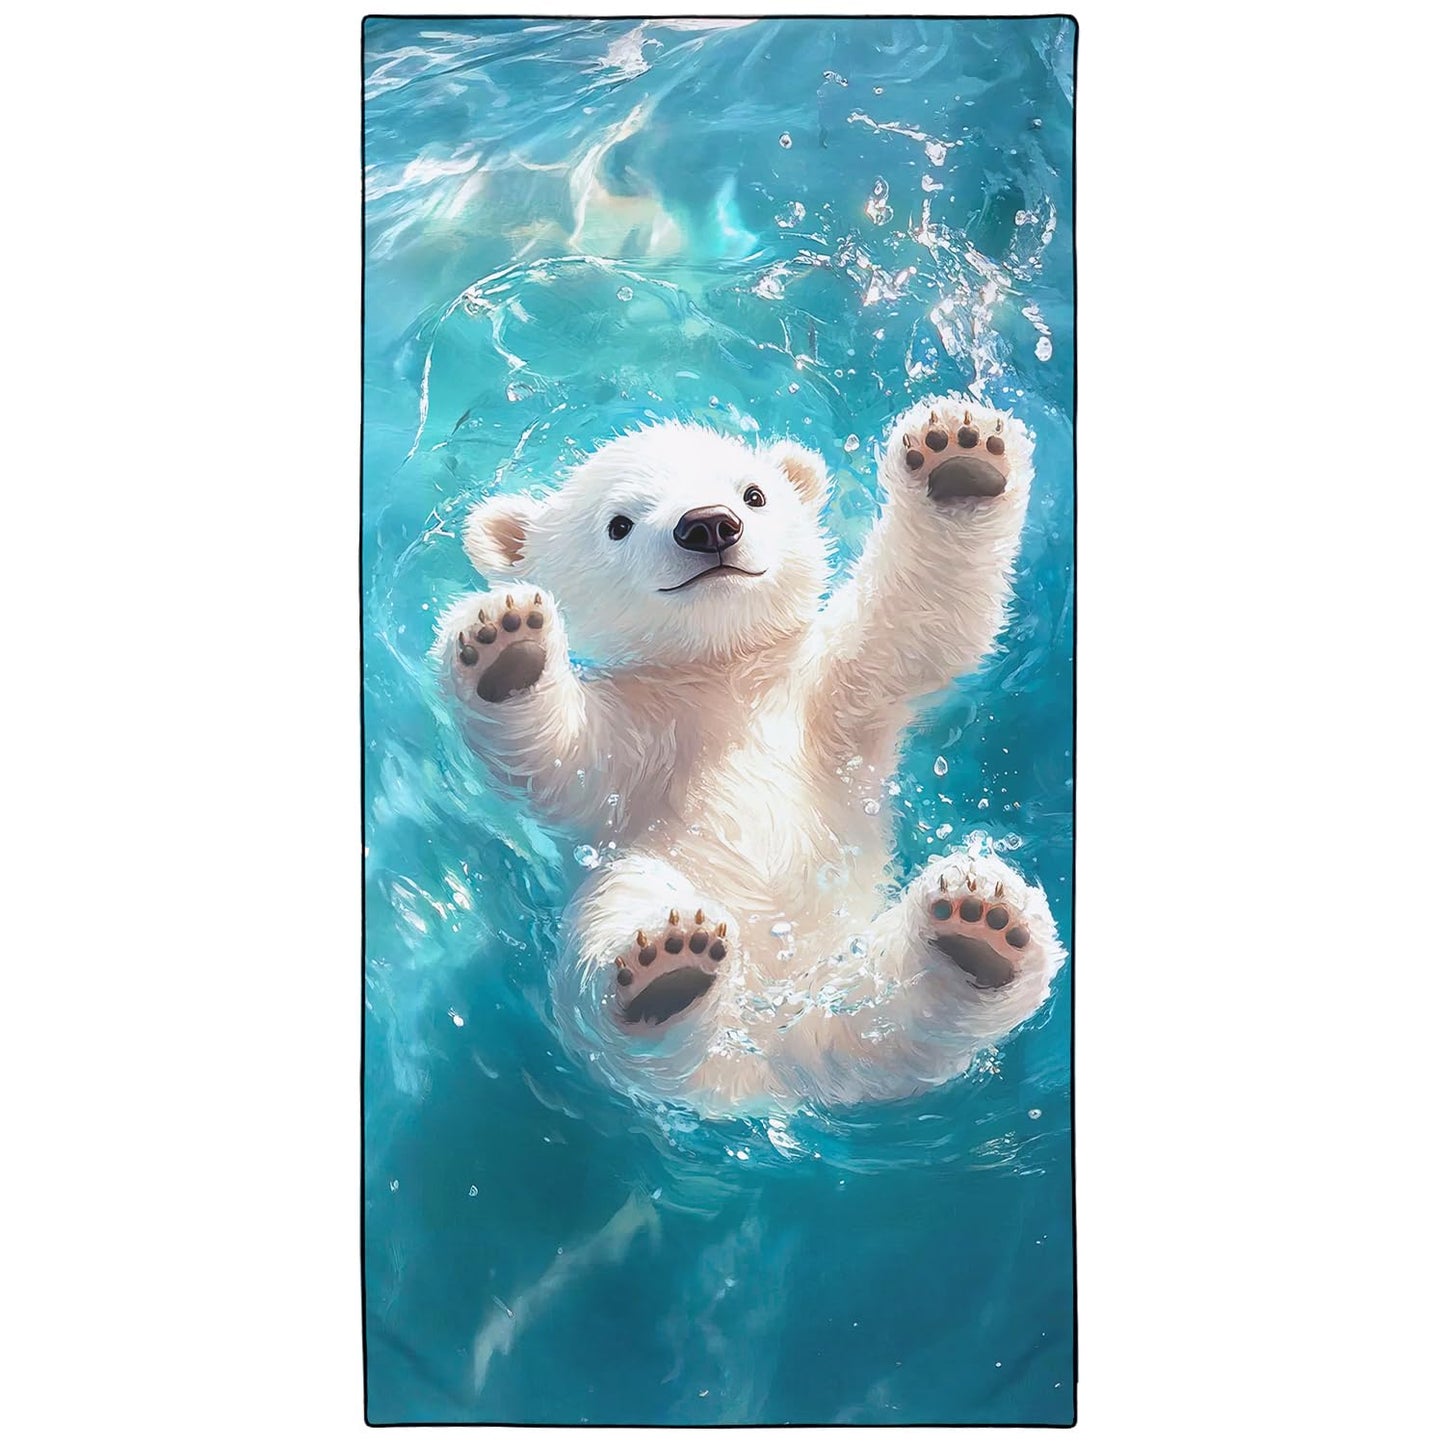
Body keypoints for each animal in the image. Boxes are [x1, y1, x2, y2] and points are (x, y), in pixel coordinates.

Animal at [436, 392, 1066, 1117]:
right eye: (619, 523)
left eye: (754, 493)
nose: (709, 525)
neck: (724, 675)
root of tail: (767, 1074)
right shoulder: (638, 740)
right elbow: (561, 762)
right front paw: (504, 640)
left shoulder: (830, 695)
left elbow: (922, 623)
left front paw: (959, 454)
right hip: (635, 891)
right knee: (625, 953)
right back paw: (667, 966)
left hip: (847, 983)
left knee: (897, 1015)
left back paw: (980, 927)